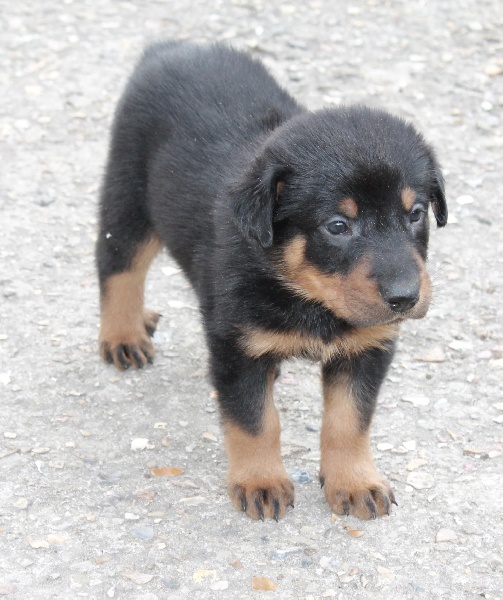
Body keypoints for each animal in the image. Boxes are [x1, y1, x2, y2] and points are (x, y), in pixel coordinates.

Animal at [96, 41, 447, 521]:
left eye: (415, 214)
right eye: (338, 226)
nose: (405, 297)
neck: (308, 296)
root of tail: (173, 47)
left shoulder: (367, 347)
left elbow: (349, 421)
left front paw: (355, 482)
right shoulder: (235, 345)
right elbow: (255, 419)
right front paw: (260, 481)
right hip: (127, 197)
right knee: (118, 269)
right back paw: (124, 335)